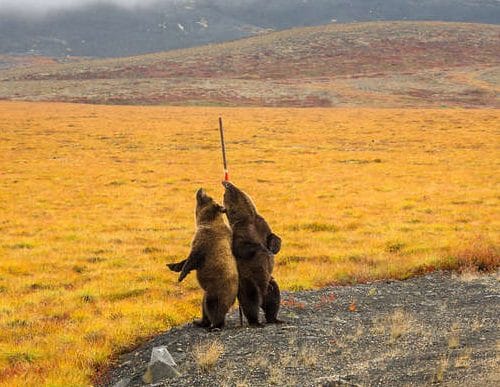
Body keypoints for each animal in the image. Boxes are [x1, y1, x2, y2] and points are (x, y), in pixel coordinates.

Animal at [166, 188, 238, 330]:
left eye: (208, 197)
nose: (201, 189)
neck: (205, 221)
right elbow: (187, 260)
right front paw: (174, 266)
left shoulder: (205, 241)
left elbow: (192, 258)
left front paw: (181, 276)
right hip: (208, 292)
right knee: (204, 306)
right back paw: (199, 322)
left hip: (217, 289)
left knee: (213, 307)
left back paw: (215, 325)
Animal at [222, 180, 284, 326]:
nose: (225, 182)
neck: (248, 217)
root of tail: (263, 293)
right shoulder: (240, 231)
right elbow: (241, 247)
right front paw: (262, 249)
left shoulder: (262, 224)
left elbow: (273, 236)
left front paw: (273, 246)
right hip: (249, 282)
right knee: (251, 301)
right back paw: (256, 321)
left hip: (270, 283)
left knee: (274, 300)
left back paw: (275, 319)